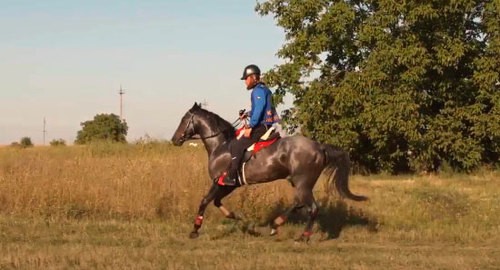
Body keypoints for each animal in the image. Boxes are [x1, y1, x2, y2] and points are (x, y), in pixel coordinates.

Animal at [172, 102, 368, 242]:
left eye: (183, 119)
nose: (174, 139)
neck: (221, 145)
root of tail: (319, 147)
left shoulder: (220, 182)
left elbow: (205, 201)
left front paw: (195, 230)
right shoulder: (229, 185)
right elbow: (216, 201)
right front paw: (238, 218)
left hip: (303, 182)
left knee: (312, 207)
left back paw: (302, 237)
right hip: (300, 183)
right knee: (299, 203)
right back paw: (276, 225)